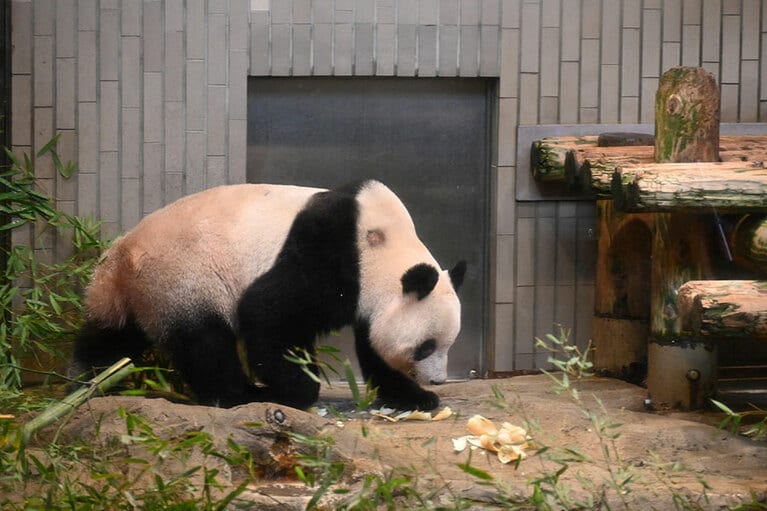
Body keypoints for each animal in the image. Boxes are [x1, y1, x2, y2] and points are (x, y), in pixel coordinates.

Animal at [70, 180, 468, 412]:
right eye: (426, 346)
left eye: (447, 344)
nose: (438, 380)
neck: (380, 246)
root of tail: (121, 255)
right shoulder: (326, 252)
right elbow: (269, 316)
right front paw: (298, 390)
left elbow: (373, 346)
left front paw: (414, 397)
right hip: (183, 279)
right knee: (205, 343)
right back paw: (239, 394)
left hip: (144, 293)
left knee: (113, 335)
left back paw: (86, 382)